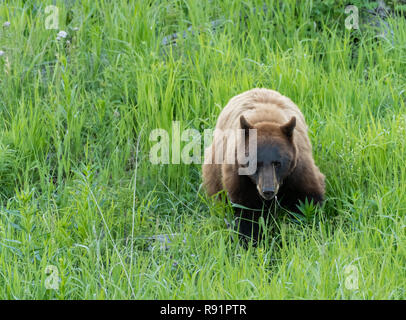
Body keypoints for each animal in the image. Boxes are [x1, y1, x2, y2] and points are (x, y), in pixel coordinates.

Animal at [203, 87, 326, 242]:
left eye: (278, 163)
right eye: (255, 163)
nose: (268, 190)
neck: (266, 121)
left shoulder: (298, 168)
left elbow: (307, 199)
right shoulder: (240, 176)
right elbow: (248, 212)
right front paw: (250, 239)